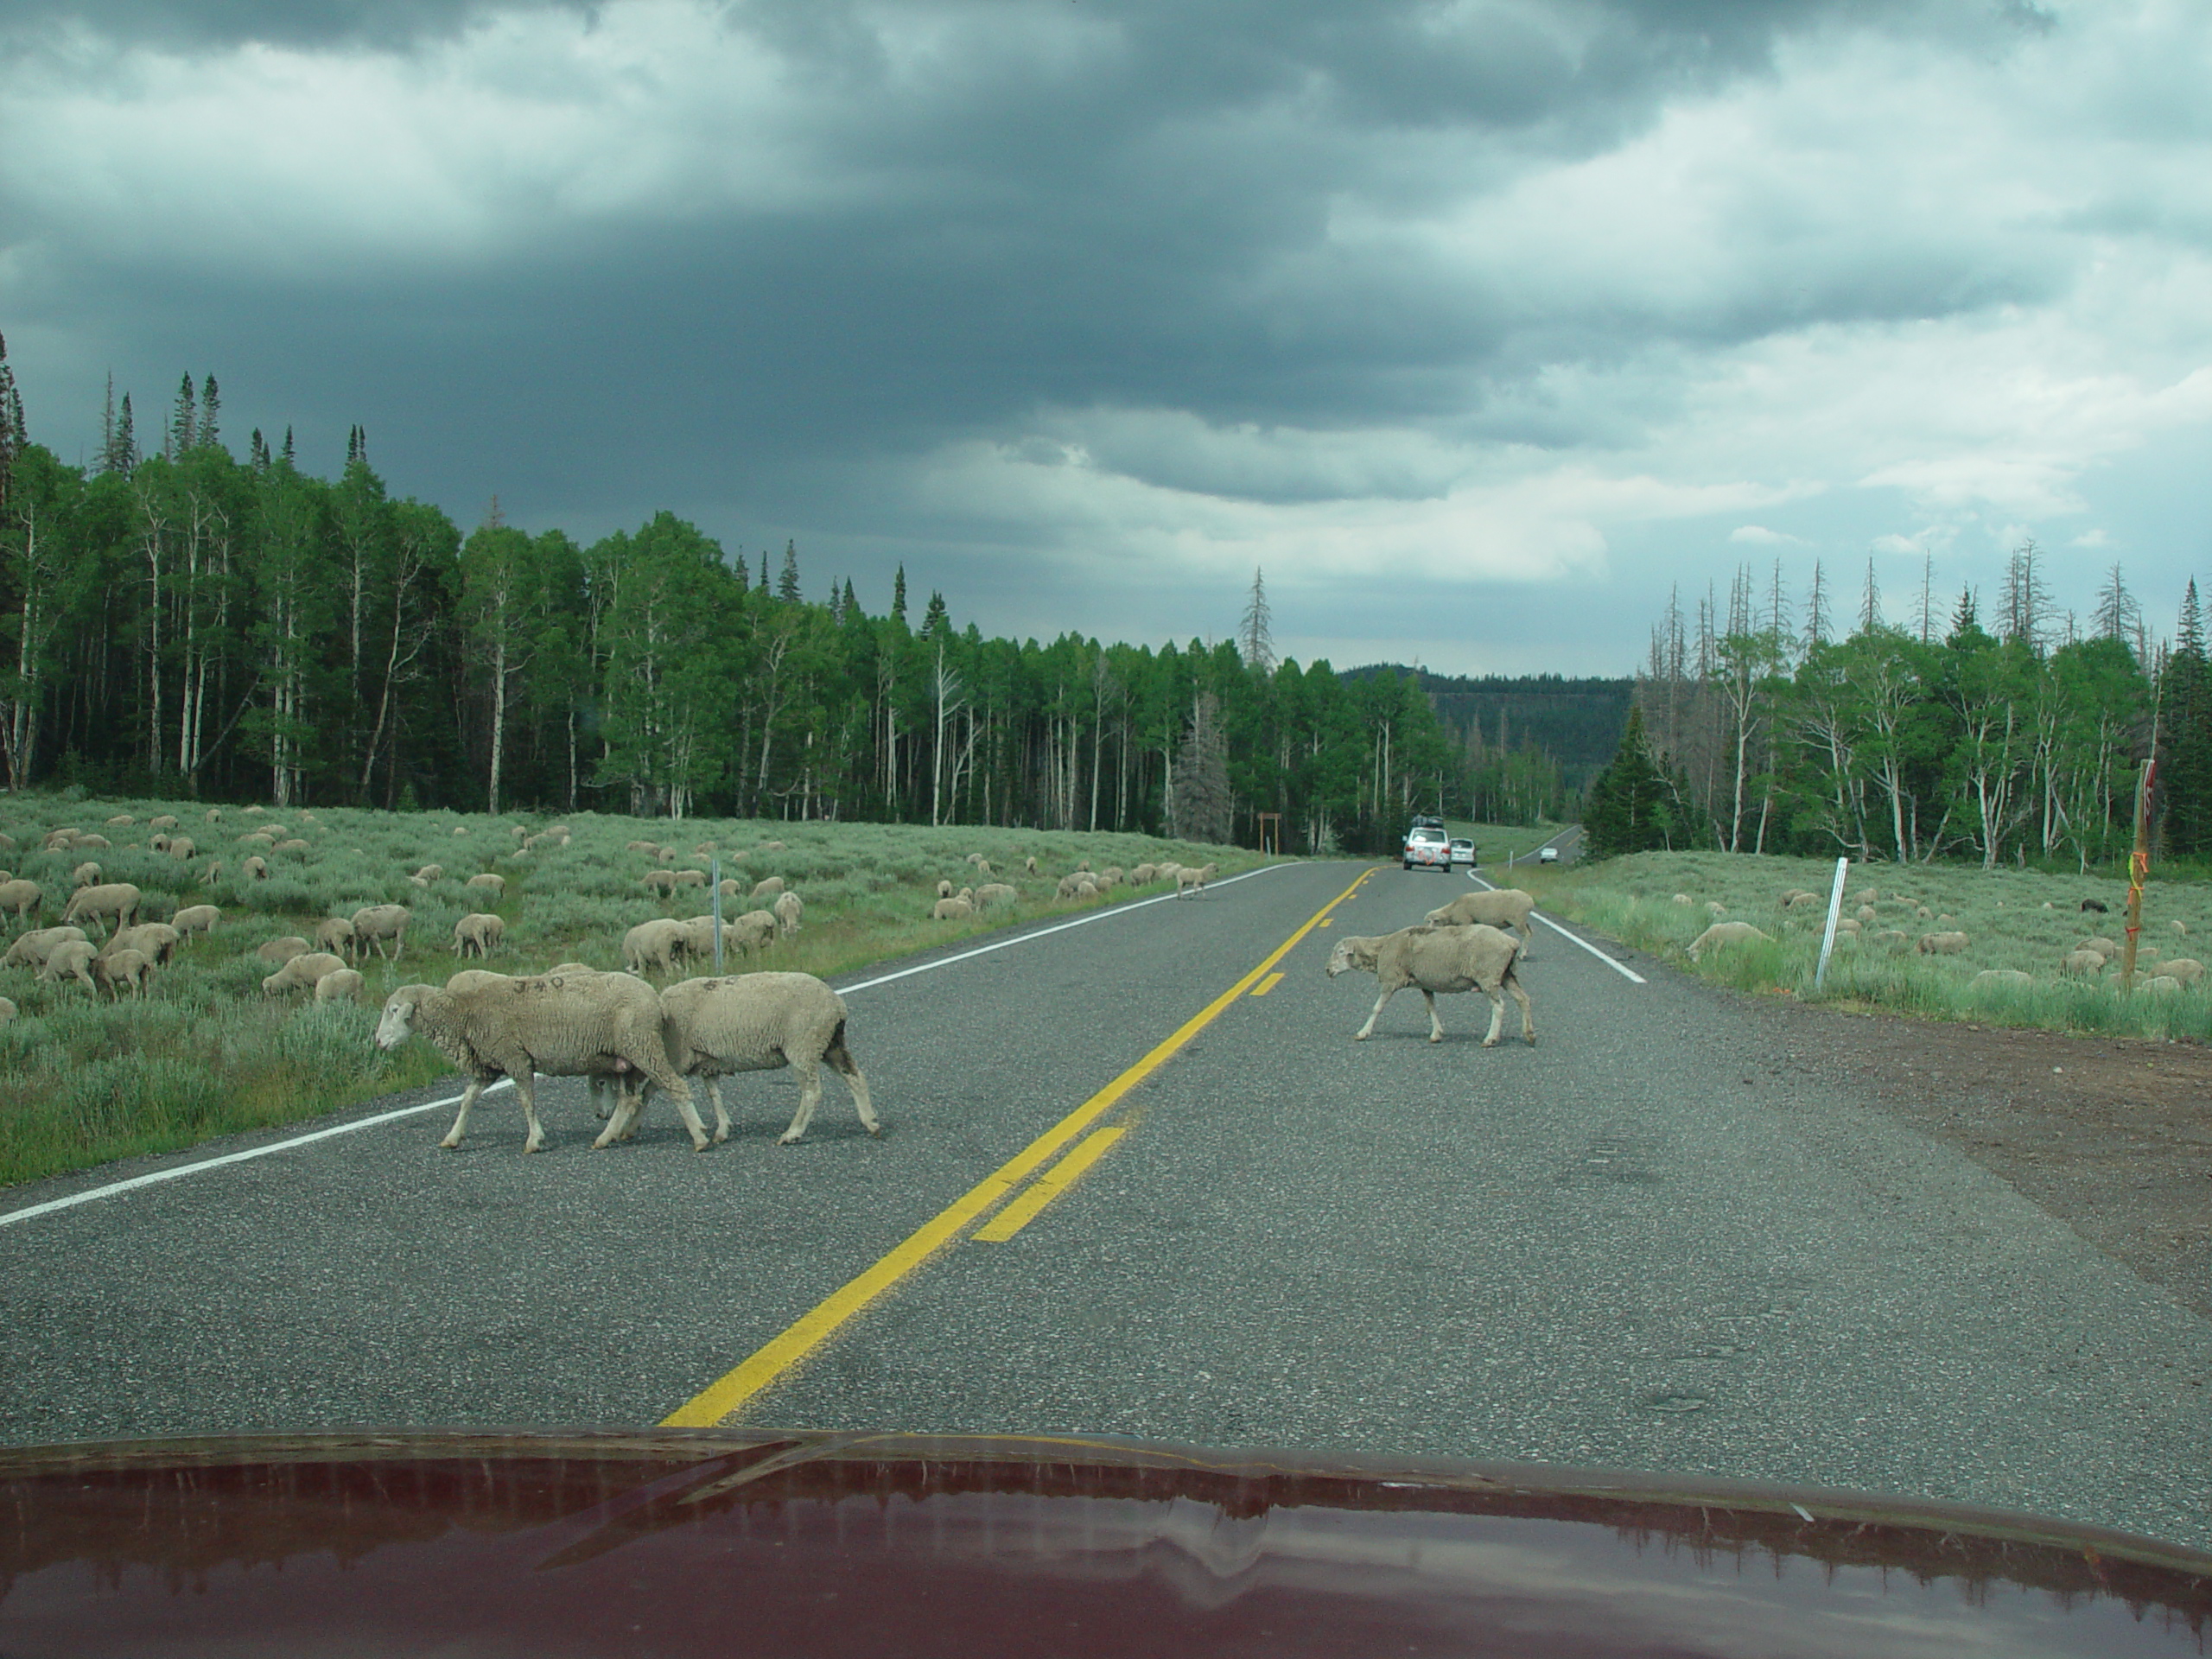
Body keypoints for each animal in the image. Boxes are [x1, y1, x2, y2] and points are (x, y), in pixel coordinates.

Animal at [372, 973, 698, 1159]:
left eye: (395, 1010)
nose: (377, 1041)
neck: (466, 1014)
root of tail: (655, 999)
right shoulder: (491, 1064)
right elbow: (467, 1100)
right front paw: (452, 1138)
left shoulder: (515, 1057)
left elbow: (526, 1101)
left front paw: (534, 1140)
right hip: (627, 1057)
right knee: (629, 1100)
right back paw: (605, 1138)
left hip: (641, 1045)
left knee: (675, 1086)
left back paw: (700, 1137)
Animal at [606, 973, 889, 1159]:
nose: (602, 1114)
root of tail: (837, 1005)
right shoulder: (707, 1058)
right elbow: (713, 1093)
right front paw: (722, 1130)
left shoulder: (676, 1058)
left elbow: (651, 1091)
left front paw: (629, 1129)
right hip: (830, 1044)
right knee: (855, 1076)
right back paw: (872, 1123)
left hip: (803, 1045)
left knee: (812, 1092)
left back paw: (792, 1133)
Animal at [1318, 925, 1530, 1052]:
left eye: (1341, 952)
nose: (1327, 970)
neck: (1381, 949)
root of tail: (1512, 942)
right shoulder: (1425, 983)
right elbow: (1430, 1008)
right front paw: (1436, 1034)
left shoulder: (1391, 981)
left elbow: (1376, 1008)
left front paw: (1363, 1033)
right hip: (1506, 975)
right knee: (1523, 999)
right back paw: (1530, 1035)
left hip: (1488, 976)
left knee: (1499, 1006)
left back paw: (1491, 1039)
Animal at [1415, 898, 1539, 960]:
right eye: (1427, 921)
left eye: (1435, 921)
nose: (1428, 929)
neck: (1453, 910)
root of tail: (1530, 900)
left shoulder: (1465, 921)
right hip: (1522, 921)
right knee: (1531, 931)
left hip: (1518, 919)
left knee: (1527, 934)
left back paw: (1522, 955)